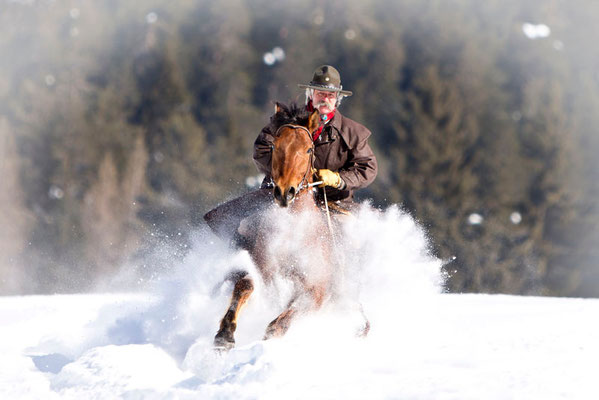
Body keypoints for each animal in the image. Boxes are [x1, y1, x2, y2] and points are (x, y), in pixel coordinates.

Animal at [214, 102, 338, 350]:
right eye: (273, 146)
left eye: (308, 150)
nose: (284, 193)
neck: (290, 234)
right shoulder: (257, 268)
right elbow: (245, 284)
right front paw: (225, 335)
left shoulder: (315, 292)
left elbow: (279, 323)